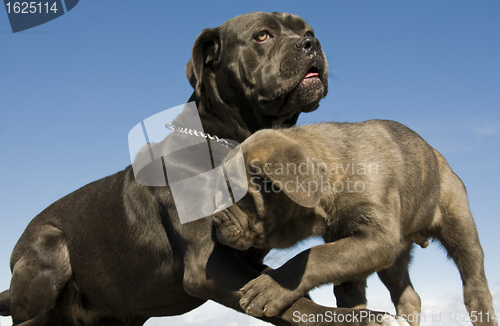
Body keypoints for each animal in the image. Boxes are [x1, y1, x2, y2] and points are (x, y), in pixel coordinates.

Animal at [0, 11, 402, 326]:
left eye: (308, 30)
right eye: (263, 35)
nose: (311, 43)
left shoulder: (247, 255)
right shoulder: (208, 263)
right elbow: (297, 306)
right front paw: (365, 319)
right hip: (49, 249)